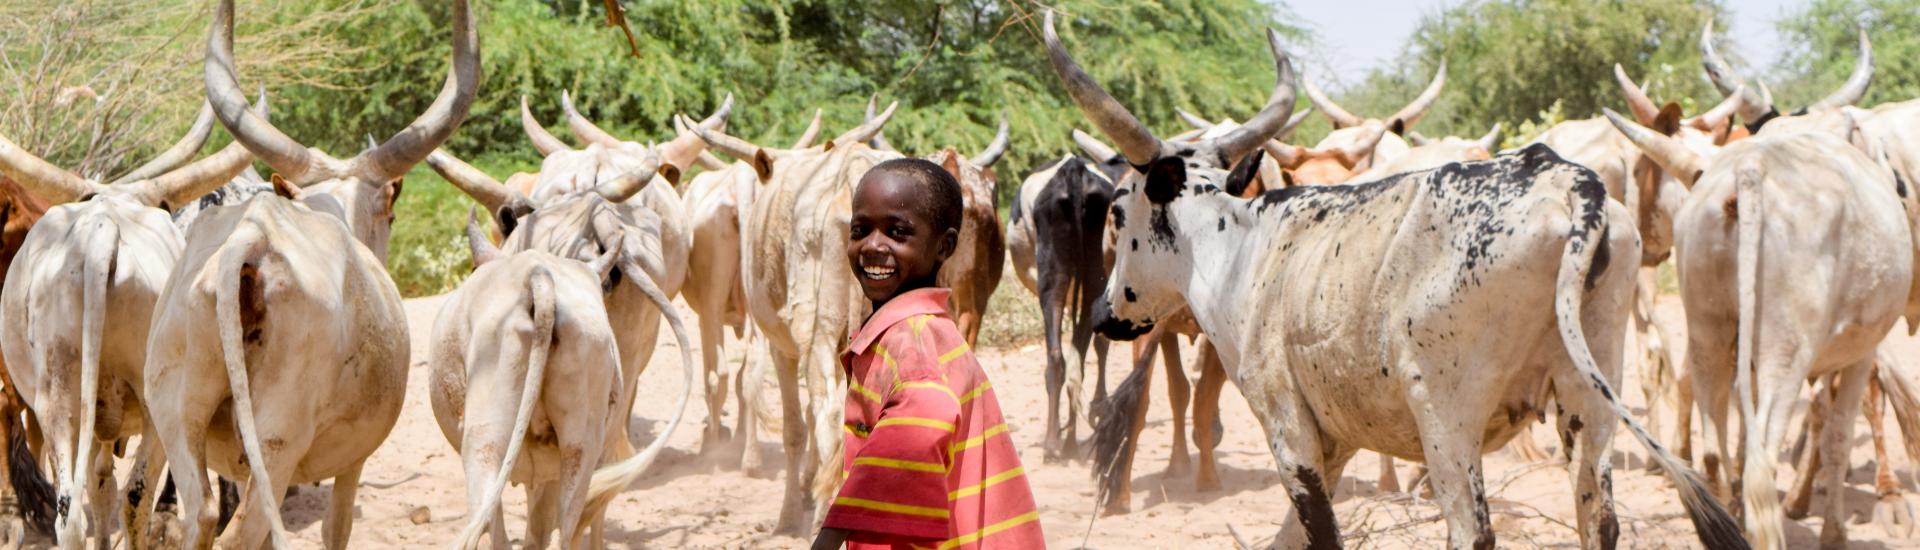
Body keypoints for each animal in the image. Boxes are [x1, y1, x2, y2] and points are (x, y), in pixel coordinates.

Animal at [1044, 9, 1751, 550]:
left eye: (1118, 211)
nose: (1104, 313)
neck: (1240, 246)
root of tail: (1571, 186)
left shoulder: (1290, 433)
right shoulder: (1335, 442)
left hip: (1448, 420)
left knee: (1473, 533)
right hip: (1591, 405)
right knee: (1598, 520)